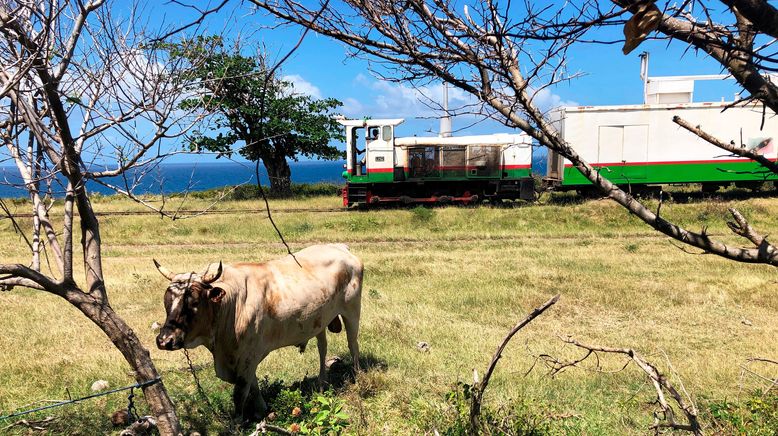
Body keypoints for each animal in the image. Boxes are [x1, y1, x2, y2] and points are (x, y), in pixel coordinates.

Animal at [152, 244, 364, 420]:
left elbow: (240, 392)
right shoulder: (244, 357)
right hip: (320, 320)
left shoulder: (248, 355)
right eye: (166, 301)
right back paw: (321, 382)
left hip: (352, 310)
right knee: (322, 347)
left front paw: (237, 423)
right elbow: (253, 385)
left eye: (194, 302)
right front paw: (261, 409)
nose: (164, 340)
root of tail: (341, 247)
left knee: (353, 344)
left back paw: (357, 375)